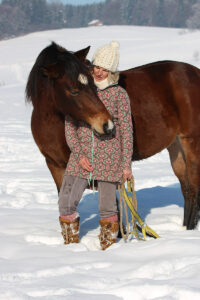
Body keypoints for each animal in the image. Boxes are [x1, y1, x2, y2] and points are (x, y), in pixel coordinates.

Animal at [26, 41, 200, 230]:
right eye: (73, 91)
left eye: (93, 85)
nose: (107, 125)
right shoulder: (55, 166)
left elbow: (113, 208)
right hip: (175, 147)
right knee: (187, 190)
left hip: (190, 142)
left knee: (194, 188)